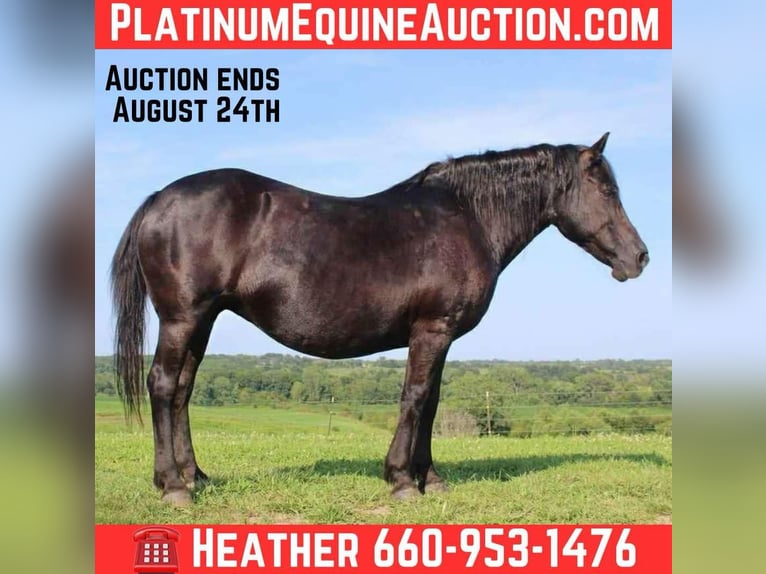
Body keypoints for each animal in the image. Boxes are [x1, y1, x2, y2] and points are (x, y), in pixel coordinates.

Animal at [111, 133, 649, 505]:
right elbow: (415, 398)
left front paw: (431, 479)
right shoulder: (431, 329)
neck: (467, 216)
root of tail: (159, 198)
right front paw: (402, 481)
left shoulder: (441, 336)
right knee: (162, 384)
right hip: (182, 318)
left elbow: (431, 402)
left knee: (182, 391)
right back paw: (172, 487)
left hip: (202, 321)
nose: (639, 257)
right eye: (606, 189)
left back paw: (196, 476)